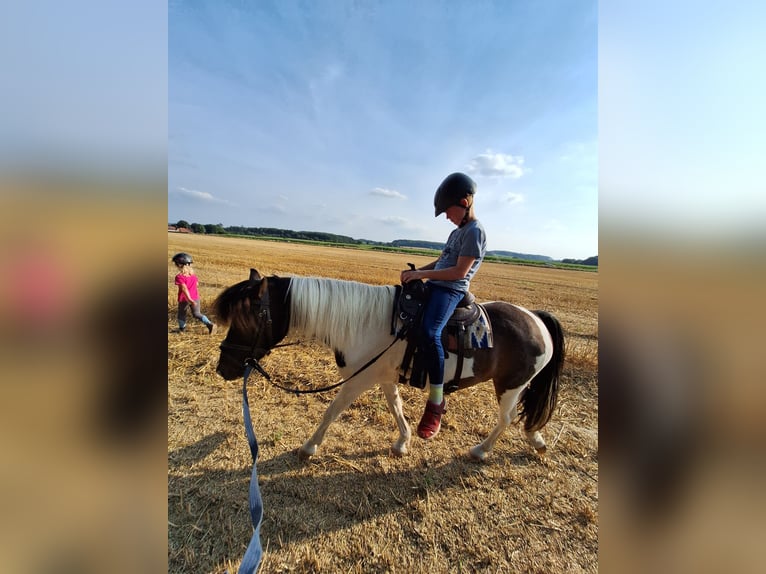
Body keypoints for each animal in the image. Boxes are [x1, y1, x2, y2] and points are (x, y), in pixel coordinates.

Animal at [214, 268, 564, 462]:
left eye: (245, 319)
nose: (222, 368)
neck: (363, 322)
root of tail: (536, 319)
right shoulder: (382, 377)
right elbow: (395, 407)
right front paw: (402, 442)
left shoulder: (357, 381)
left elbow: (331, 410)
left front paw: (309, 447)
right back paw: (536, 440)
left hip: (510, 385)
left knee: (506, 418)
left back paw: (481, 450)